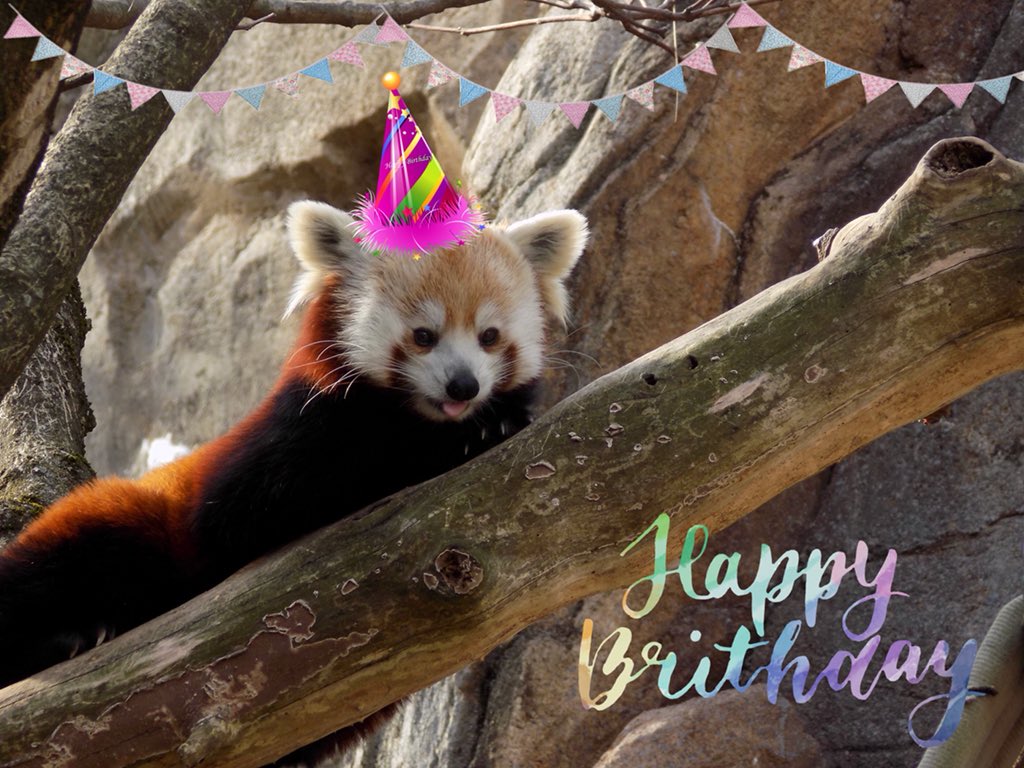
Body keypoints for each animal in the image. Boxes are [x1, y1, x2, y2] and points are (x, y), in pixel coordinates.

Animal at [0, 201, 587, 758]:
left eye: (490, 337)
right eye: (424, 336)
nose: (463, 386)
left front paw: (499, 421)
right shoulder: (285, 440)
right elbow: (261, 506)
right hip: (113, 521)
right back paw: (72, 639)